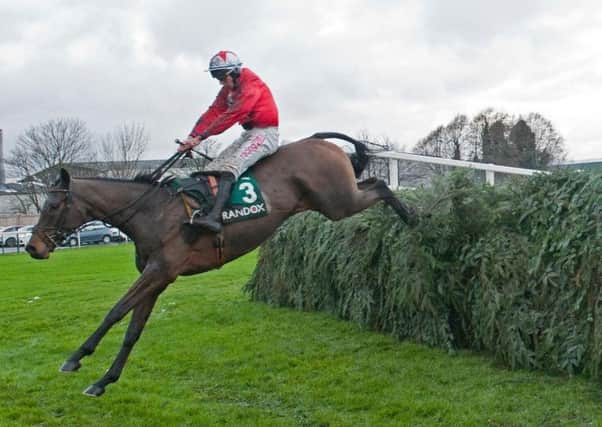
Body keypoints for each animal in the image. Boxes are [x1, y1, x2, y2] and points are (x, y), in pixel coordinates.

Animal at [25, 134, 414, 398]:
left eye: (53, 207)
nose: (32, 247)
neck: (150, 212)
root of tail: (322, 143)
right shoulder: (158, 279)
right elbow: (133, 330)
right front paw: (104, 380)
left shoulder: (160, 271)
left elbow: (115, 311)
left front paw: (75, 358)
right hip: (334, 199)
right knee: (372, 182)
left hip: (337, 201)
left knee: (381, 184)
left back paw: (410, 216)